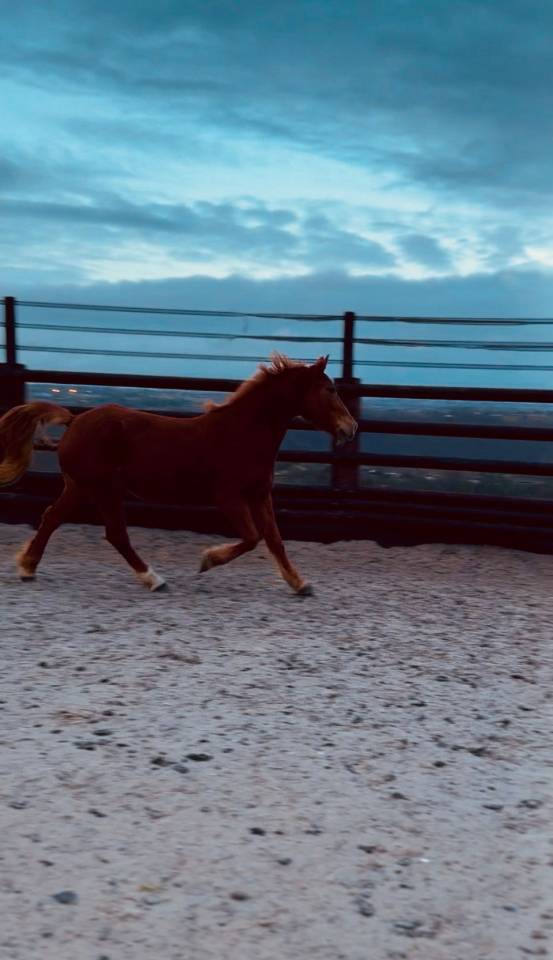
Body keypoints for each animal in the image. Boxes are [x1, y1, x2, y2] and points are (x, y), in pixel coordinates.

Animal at [0, 354, 357, 595]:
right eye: (329, 389)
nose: (351, 428)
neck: (243, 433)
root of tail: (74, 420)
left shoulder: (259, 494)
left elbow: (274, 540)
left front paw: (300, 583)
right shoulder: (228, 497)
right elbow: (252, 538)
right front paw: (207, 561)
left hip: (84, 488)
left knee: (54, 519)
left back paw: (29, 568)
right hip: (101, 488)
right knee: (113, 533)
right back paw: (154, 579)